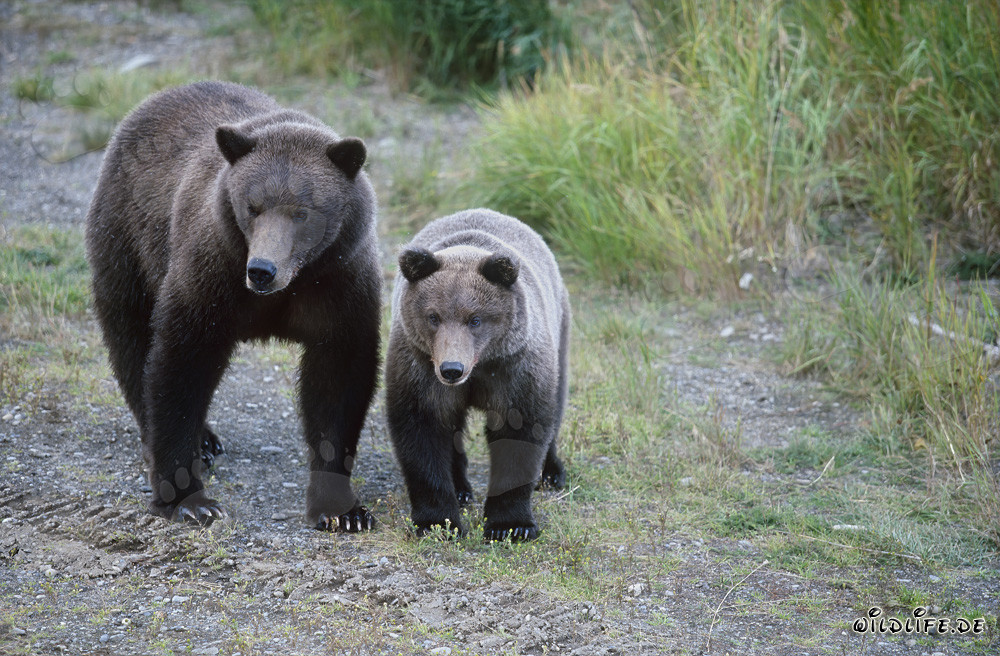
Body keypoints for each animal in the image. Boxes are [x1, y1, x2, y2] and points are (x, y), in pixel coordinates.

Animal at [85, 81, 381, 531]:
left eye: (302, 212)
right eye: (252, 206)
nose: (262, 270)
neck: (292, 284)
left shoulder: (340, 284)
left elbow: (338, 382)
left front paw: (342, 510)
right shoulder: (212, 276)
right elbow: (181, 365)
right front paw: (189, 498)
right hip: (128, 240)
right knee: (131, 337)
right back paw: (196, 440)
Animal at [385, 208, 570, 541]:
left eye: (476, 319)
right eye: (433, 316)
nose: (451, 369)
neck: (480, 366)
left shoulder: (514, 368)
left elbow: (520, 430)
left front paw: (511, 525)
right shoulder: (418, 368)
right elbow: (422, 430)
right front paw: (437, 521)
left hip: (559, 332)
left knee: (556, 404)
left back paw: (551, 473)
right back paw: (460, 488)